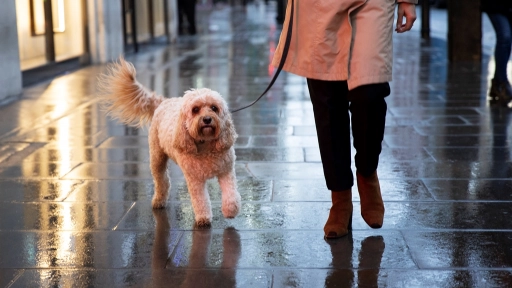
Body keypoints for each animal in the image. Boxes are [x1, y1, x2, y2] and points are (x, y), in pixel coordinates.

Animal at [99, 57, 241, 226]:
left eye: (214, 108)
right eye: (195, 110)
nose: (207, 119)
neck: (206, 145)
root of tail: (164, 101)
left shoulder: (226, 171)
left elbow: (231, 194)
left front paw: (230, 210)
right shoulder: (195, 179)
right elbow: (200, 200)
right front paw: (203, 218)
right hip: (157, 158)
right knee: (162, 181)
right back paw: (159, 201)